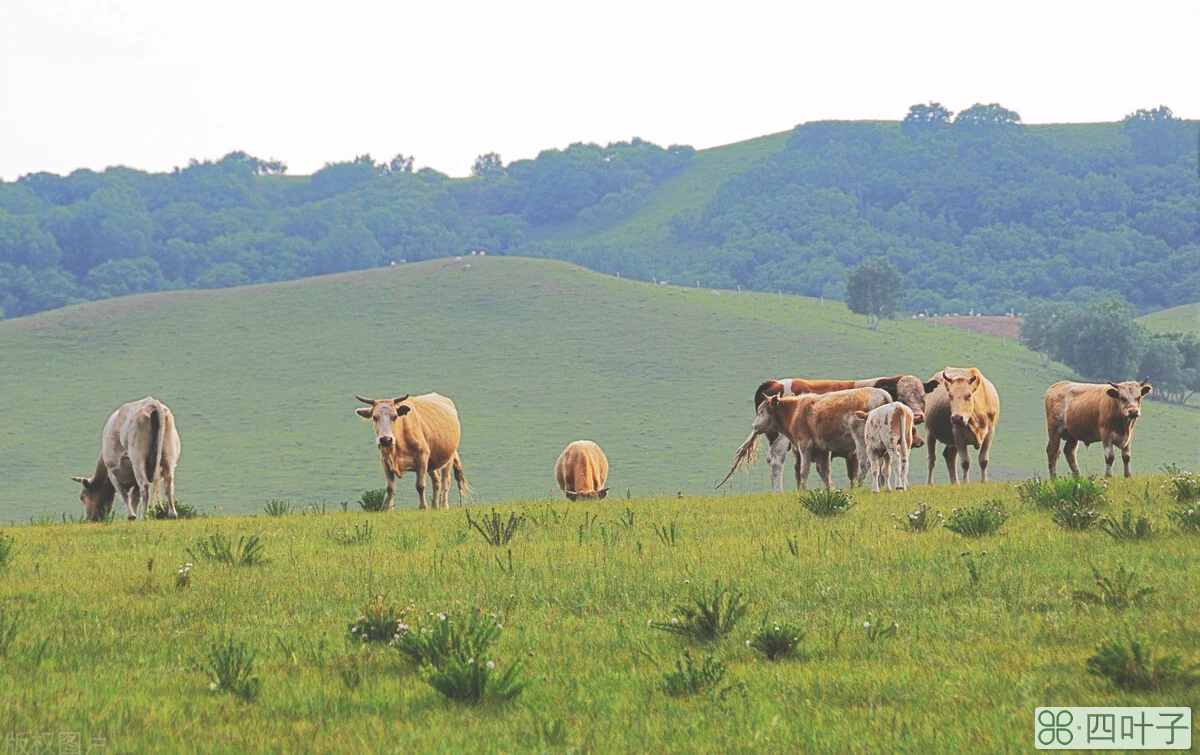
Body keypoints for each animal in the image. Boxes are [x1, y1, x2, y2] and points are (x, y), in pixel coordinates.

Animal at [720, 388, 892, 489]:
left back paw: (857, 487)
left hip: (861, 440)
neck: (795, 411)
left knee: (865, 463)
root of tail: (882, 394)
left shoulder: (805, 445)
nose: (753, 426)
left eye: (761, 411)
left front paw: (803, 489)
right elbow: (825, 472)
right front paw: (829, 490)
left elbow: (804, 470)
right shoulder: (823, 450)